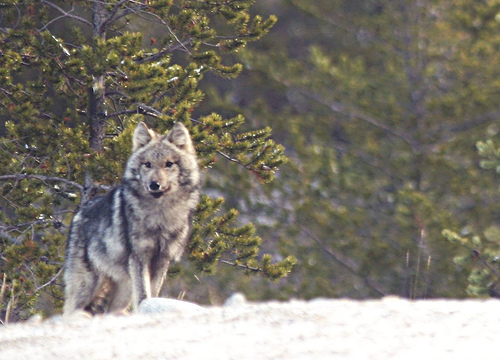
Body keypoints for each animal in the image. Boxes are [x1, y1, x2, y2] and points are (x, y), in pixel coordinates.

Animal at [63, 122, 200, 316]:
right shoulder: (139, 257)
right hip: (88, 286)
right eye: (147, 164)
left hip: (123, 289)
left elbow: (153, 292)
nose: (154, 184)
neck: (160, 215)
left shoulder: (162, 259)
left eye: (169, 164)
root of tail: (78, 215)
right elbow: (143, 294)